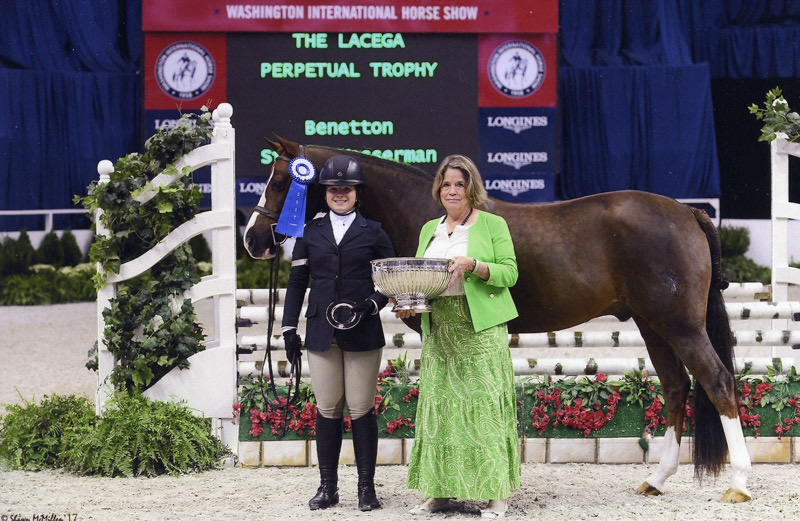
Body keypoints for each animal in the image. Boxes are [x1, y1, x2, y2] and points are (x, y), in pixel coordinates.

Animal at [244, 136, 752, 502]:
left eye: (280, 181)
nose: (253, 239)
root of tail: (686, 211)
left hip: (680, 326)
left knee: (718, 382)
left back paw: (739, 485)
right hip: (654, 326)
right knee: (676, 388)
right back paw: (657, 481)